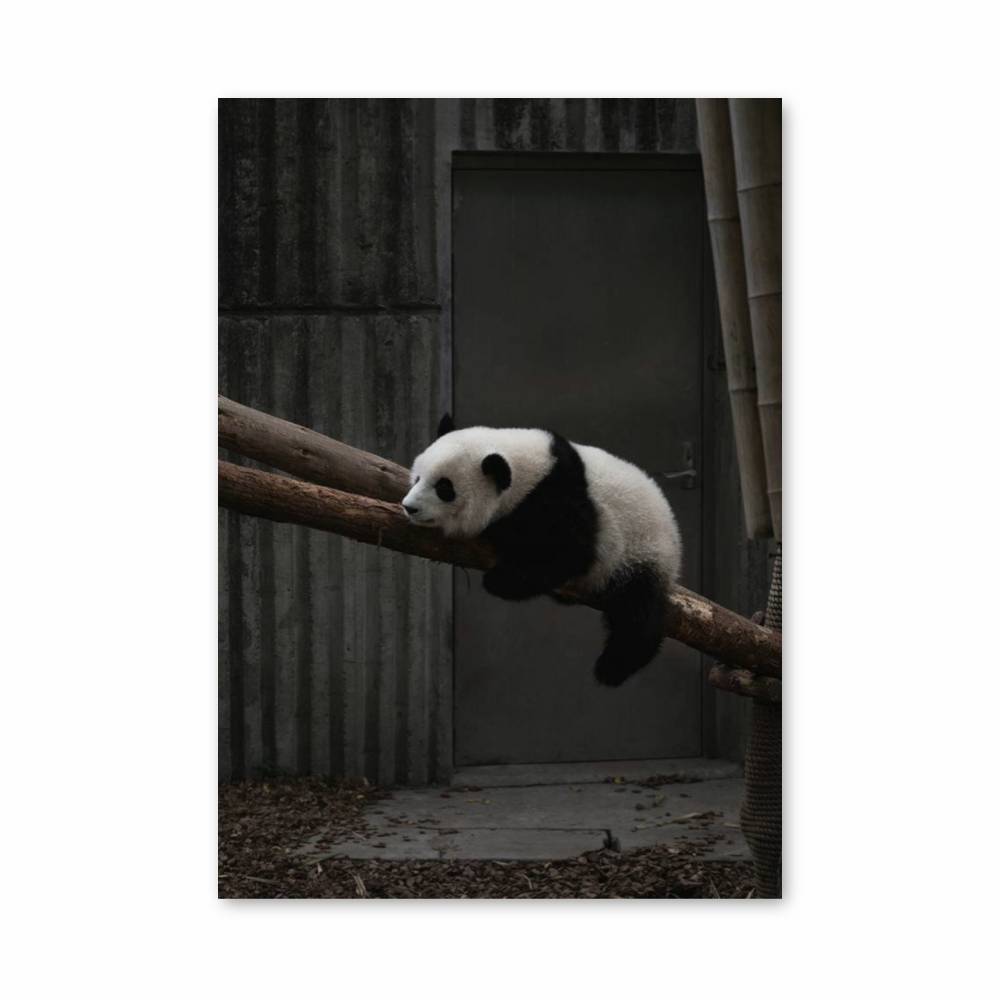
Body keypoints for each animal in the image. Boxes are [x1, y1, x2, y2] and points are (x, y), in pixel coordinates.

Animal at [401, 414, 682, 687]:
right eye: (417, 477)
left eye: (444, 488)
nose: (409, 507)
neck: (530, 471)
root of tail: (674, 535)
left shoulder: (559, 499)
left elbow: (570, 553)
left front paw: (500, 577)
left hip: (641, 550)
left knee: (636, 611)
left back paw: (613, 667)